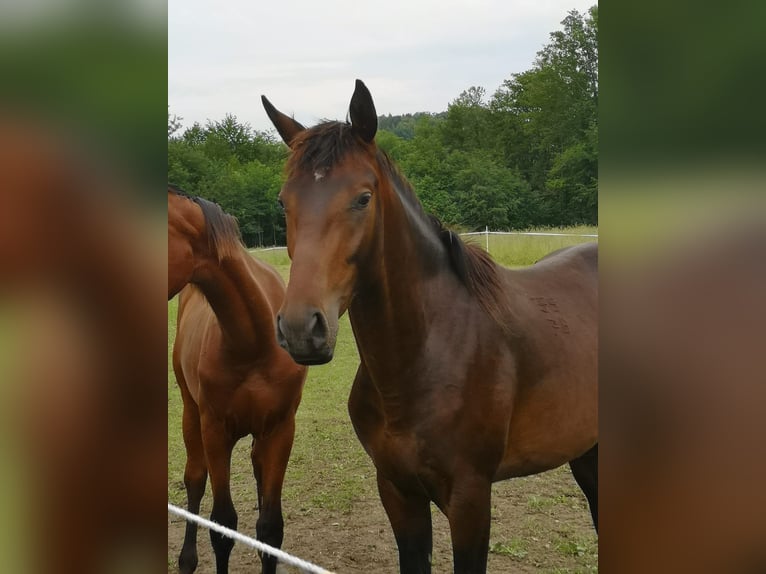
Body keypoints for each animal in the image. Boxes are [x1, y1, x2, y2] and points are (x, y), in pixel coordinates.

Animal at [169, 187, 308, 572]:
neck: (253, 343)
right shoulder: (216, 431)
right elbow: (222, 526)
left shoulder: (280, 430)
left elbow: (271, 529)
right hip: (190, 412)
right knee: (195, 479)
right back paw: (187, 559)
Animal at [264, 82, 600, 574]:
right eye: (284, 202)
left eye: (363, 198)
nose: (301, 328)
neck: (423, 358)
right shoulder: (398, 492)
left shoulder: (470, 499)